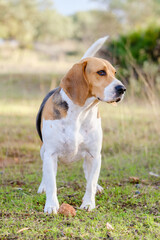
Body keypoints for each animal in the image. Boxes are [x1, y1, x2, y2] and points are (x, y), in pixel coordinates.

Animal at [36, 37, 126, 214]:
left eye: (114, 73)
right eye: (101, 72)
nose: (122, 89)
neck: (80, 112)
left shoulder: (94, 154)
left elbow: (90, 182)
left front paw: (89, 203)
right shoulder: (51, 155)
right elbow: (52, 183)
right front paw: (51, 205)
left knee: (89, 174)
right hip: (44, 151)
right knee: (46, 175)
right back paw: (43, 186)